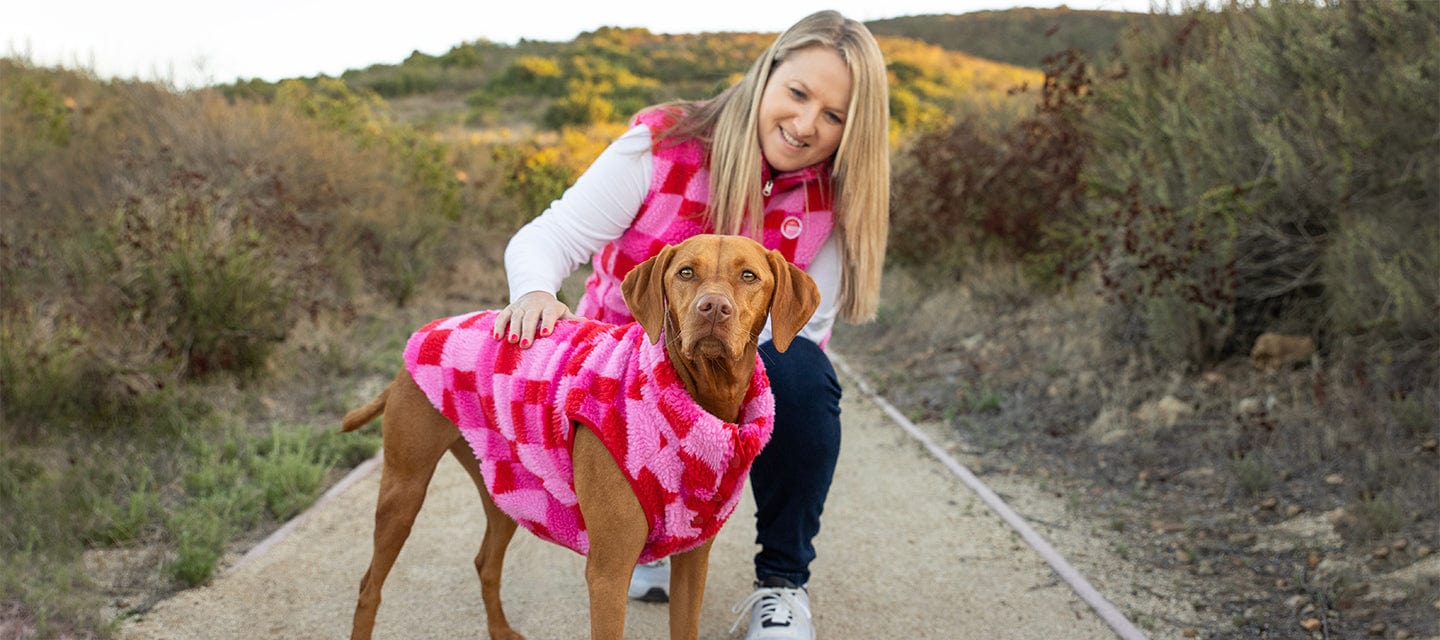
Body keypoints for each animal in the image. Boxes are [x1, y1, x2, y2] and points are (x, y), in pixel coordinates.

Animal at [338, 234, 829, 640]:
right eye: (686, 272)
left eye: (749, 276)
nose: (713, 309)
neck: (699, 401)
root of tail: (421, 333)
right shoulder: (608, 574)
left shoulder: (693, 563)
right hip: (404, 489)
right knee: (368, 586)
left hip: (510, 485)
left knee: (486, 563)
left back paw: (500, 630)